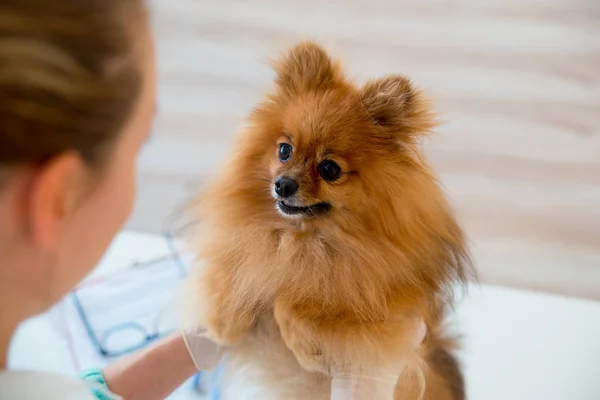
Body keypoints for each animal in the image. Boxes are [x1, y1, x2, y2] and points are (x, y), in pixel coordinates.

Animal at [190, 42, 472, 398]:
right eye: (284, 150)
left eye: (329, 169)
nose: (283, 184)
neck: (303, 239)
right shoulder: (253, 250)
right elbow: (237, 273)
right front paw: (224, 323)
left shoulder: (381, 307)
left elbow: (289, 302)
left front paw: (308, 349)